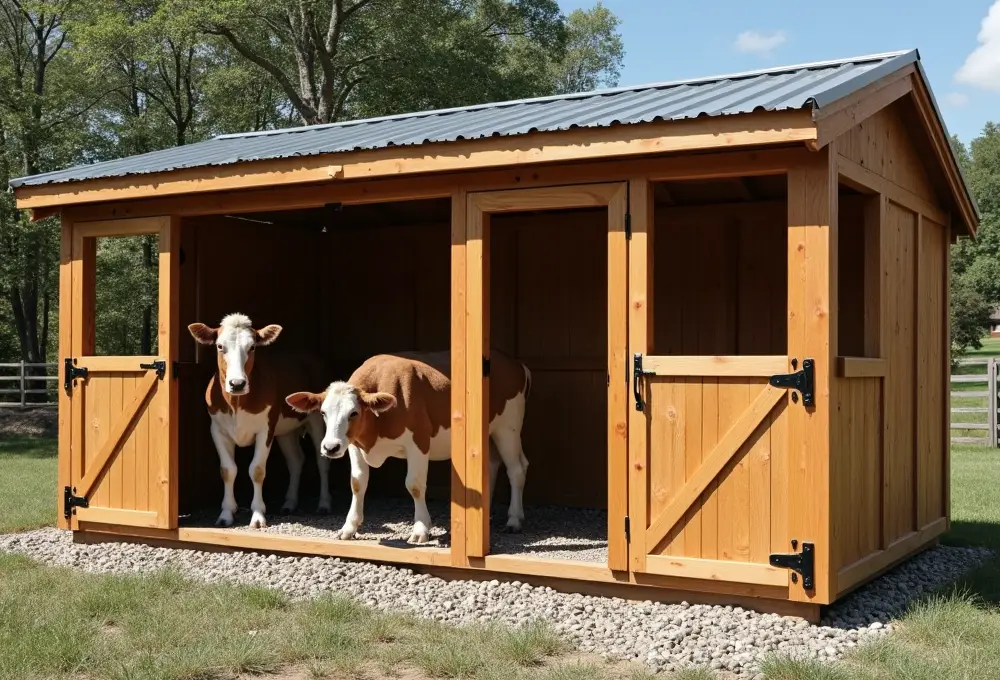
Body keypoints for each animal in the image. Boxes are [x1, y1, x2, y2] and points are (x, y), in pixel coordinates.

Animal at [186, 314, 330, 532]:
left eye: (252, 347)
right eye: (220, 346)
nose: (237, 383)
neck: (236, 403)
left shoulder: (266, 429)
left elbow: (257, 470)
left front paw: (257, 515)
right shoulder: (217, 429)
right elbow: (227, 470)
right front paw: (226, 513)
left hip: (317, 419)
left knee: (322, 461)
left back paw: (323, 503)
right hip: (285, 430)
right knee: (295, 460)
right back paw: (289, 503)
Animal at [286, 354, 532, 544]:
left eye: (353, 413)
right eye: (323, 413)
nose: (330, 447)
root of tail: (515, 364)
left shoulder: (419, 441)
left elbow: (414, 485)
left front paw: (421, 529)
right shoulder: (355, 444)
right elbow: (357, 483)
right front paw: (349, 527)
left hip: (508, 428)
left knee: (517, 469)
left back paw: (514, 519)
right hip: (488, 431)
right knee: (492, 464)